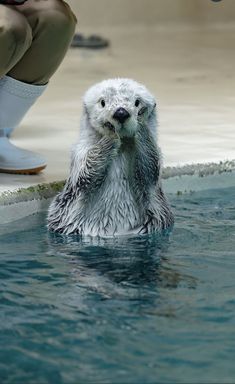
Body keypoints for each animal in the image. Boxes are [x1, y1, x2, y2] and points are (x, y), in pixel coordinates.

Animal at [46, 78, 173, 236]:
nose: (121, 113)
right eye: (102, 102)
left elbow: (150, 169)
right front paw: (110, 132)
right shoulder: (80, 152)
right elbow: (85, 175)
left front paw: (141, 119)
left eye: (137, 102)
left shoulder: (156, 156)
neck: (122, 147)